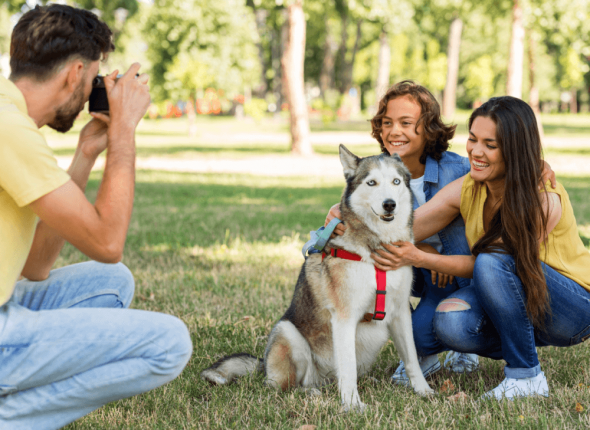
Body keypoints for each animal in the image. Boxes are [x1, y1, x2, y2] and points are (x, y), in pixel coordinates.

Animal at [201, 144, 438, 410]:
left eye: (396, 181)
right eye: (372, 182)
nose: (390, 204)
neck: (374, 251)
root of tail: (264, 364)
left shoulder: (400, 313)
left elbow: (412, 359)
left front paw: (423, 391)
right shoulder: (344, 318)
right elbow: (348, 368)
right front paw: (352, 406)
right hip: (288, 333)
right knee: (286, 387)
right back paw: (311, 393)